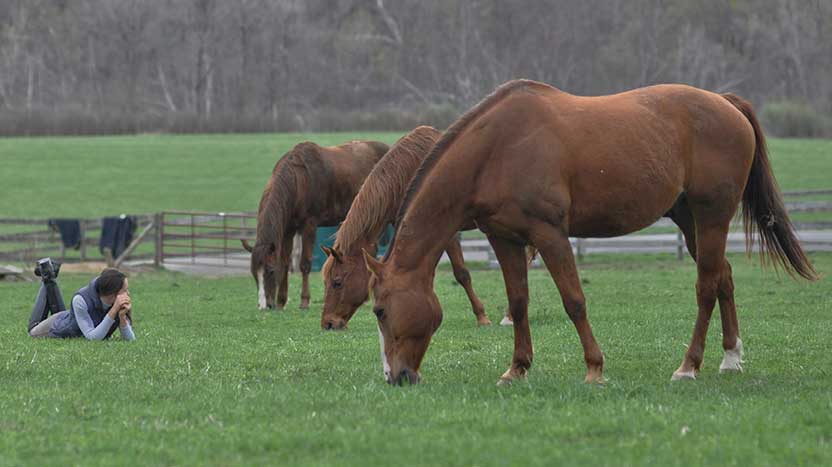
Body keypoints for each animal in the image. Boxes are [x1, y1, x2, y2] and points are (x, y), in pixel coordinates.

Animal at [244, 141, 390, 312]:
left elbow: (305, 264)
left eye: (271, 271)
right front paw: (281, 301)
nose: (264, 306)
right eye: (254, 274)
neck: (298, 180)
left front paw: (304, 301)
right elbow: (285, 262)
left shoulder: (309, 226)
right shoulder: (288, 230)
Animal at [322, 125, 494, 330]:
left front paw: (482, 316)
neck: (408, 173)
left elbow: (462, 273)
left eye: (337, 282)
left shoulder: (446, 233)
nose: (328, 323)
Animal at [360, 81, 816, 388]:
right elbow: (518, 303)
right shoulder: (504, 239)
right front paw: (517, 368)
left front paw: (595, 368)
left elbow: (574, 301)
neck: (497, 149)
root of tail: (726, 103)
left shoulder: (550, 234)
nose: (395, 376)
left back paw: (689, 366)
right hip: (690, 221)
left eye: (379, 310)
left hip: (712, 216)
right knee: (723, 277)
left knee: (706, 286)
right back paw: (731, 357)